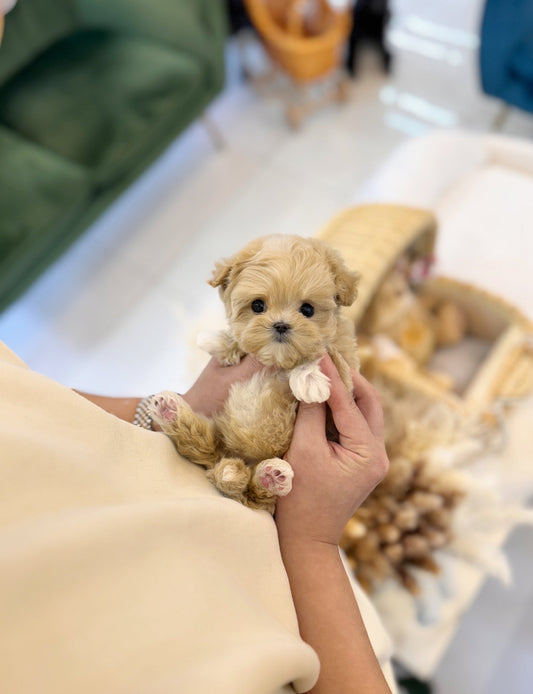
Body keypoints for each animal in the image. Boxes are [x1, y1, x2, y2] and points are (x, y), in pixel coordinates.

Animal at [148, 237, 360, 512]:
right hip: (220, 437)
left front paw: (309, 379)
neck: (277, 360)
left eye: (308, 310)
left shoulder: (343, 385)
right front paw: (217, 340)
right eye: (257, 305)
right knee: (202, 443)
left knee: (258, 493)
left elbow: (324, 354)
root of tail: (233, 464)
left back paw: (272, 476)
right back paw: (170, 410)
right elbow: (239, 341)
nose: (280, 325)